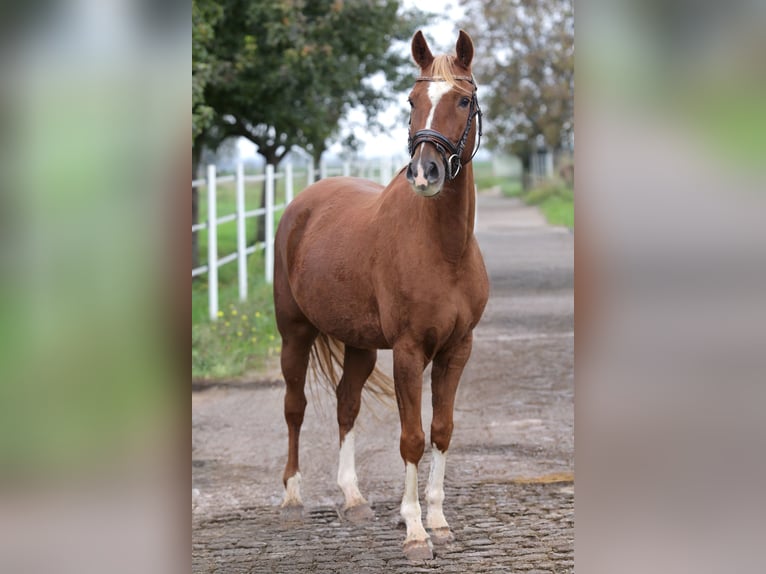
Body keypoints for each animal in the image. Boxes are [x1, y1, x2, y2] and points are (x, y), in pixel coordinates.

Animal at [272, 30, 488, 564]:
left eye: (463, 100)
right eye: (411, 101)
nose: (426, 172)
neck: (443, 249)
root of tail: (303, 204)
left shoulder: (457, 350)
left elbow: (442, 431)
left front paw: (439, 521)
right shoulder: (409, 352)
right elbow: (411, 438)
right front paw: (413, 531)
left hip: (359, 344)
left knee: (345, 405)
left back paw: (353, 500)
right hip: (294, 333)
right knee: (294, 407)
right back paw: (292, 498)